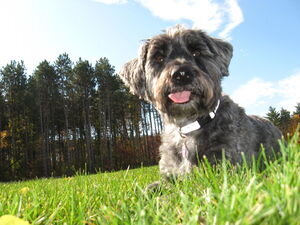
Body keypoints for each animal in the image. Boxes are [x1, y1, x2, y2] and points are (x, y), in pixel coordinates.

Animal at [118, 24, 282, 180]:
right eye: (159, 57)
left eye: (196, 52)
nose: (182, 74)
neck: (188, 126)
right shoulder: (169, 174)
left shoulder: (228, 165)